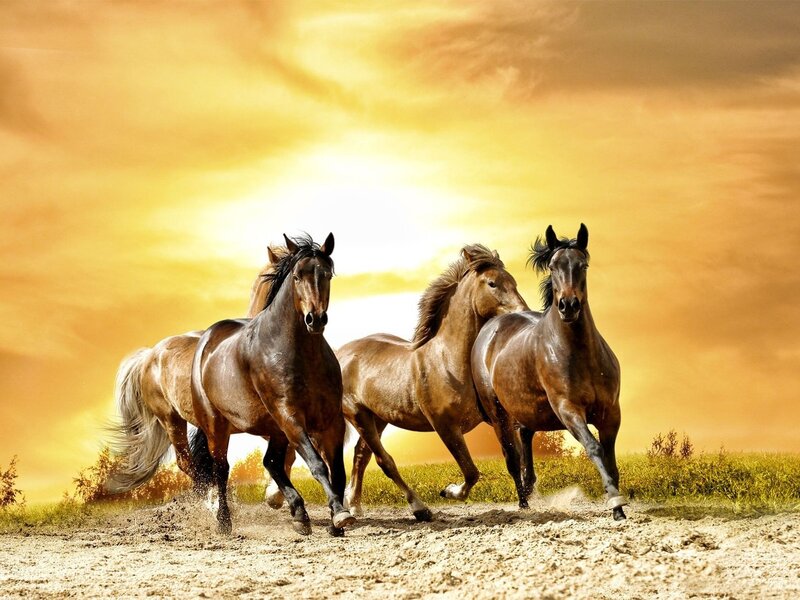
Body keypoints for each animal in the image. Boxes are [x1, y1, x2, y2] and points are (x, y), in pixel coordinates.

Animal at [190, 233, 355, 536]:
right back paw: (224, 522)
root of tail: (207, 340)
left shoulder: (331, 420)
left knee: (272, 462)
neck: (301, 354)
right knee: (222, 469)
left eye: (327, 274)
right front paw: (339, 514)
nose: (315, 319)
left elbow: (337, 470)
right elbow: (317, 465)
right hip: (217, 426)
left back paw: (299, 514)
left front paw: (337, 521)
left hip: (274, 428)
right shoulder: (290, 416)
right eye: (297, 276)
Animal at [338, 244, 528, 521]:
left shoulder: (497, 418)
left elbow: (513, 459)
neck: (448, 360)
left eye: (513, 281)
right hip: (358, 415)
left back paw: (354, 504)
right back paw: (420, 508)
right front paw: (448, 491)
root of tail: (341, 353)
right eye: (492, 283)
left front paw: (526, 503)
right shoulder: (445, 426)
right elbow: (471, 472)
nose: (522, 313)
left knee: (361, 455)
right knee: (384, 461)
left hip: (378, 418)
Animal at [471, 224, 627, 520]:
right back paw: (523, 503)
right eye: (553, 266)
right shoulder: (568, 409)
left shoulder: (611, 412)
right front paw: (615, 502)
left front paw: (618, 505)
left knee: (525, 438)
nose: (568, 306)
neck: (580, 355)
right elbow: (594, 448)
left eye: (583, 265)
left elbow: (611, 457)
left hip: (528, 410)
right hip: (498, 414)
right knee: (512, 457)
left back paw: (529, 489)